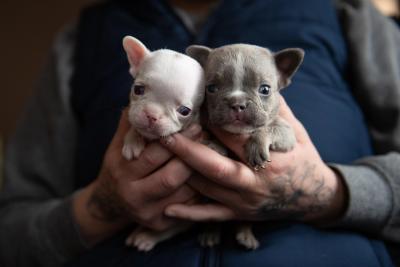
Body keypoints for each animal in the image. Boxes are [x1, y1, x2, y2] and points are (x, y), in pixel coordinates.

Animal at [186, 43, 304, 250]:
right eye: (211, 88)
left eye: (265, 89)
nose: (237, 103)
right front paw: (215, 146)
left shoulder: (286, 134)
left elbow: (268, 129)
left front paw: (257, 145)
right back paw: (210, 233)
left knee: (246, 218)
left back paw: (245, 235)